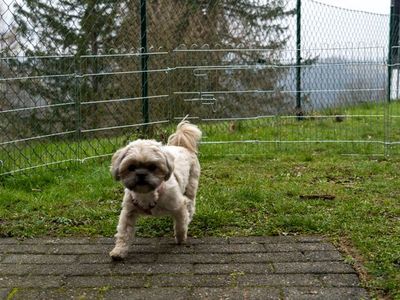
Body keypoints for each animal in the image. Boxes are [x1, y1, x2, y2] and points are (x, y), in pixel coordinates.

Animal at [108, 120, 202, 258]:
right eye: (131, 167)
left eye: (153, 167)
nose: (141, 174)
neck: (147, 194)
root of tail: (183, 146)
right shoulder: (128, 212)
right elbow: (124, 233)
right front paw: (119, 251)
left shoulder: (178, 206)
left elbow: (180, 224)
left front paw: (180, 238)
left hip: (191, 185)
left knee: (190, 204)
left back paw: (189, 216)